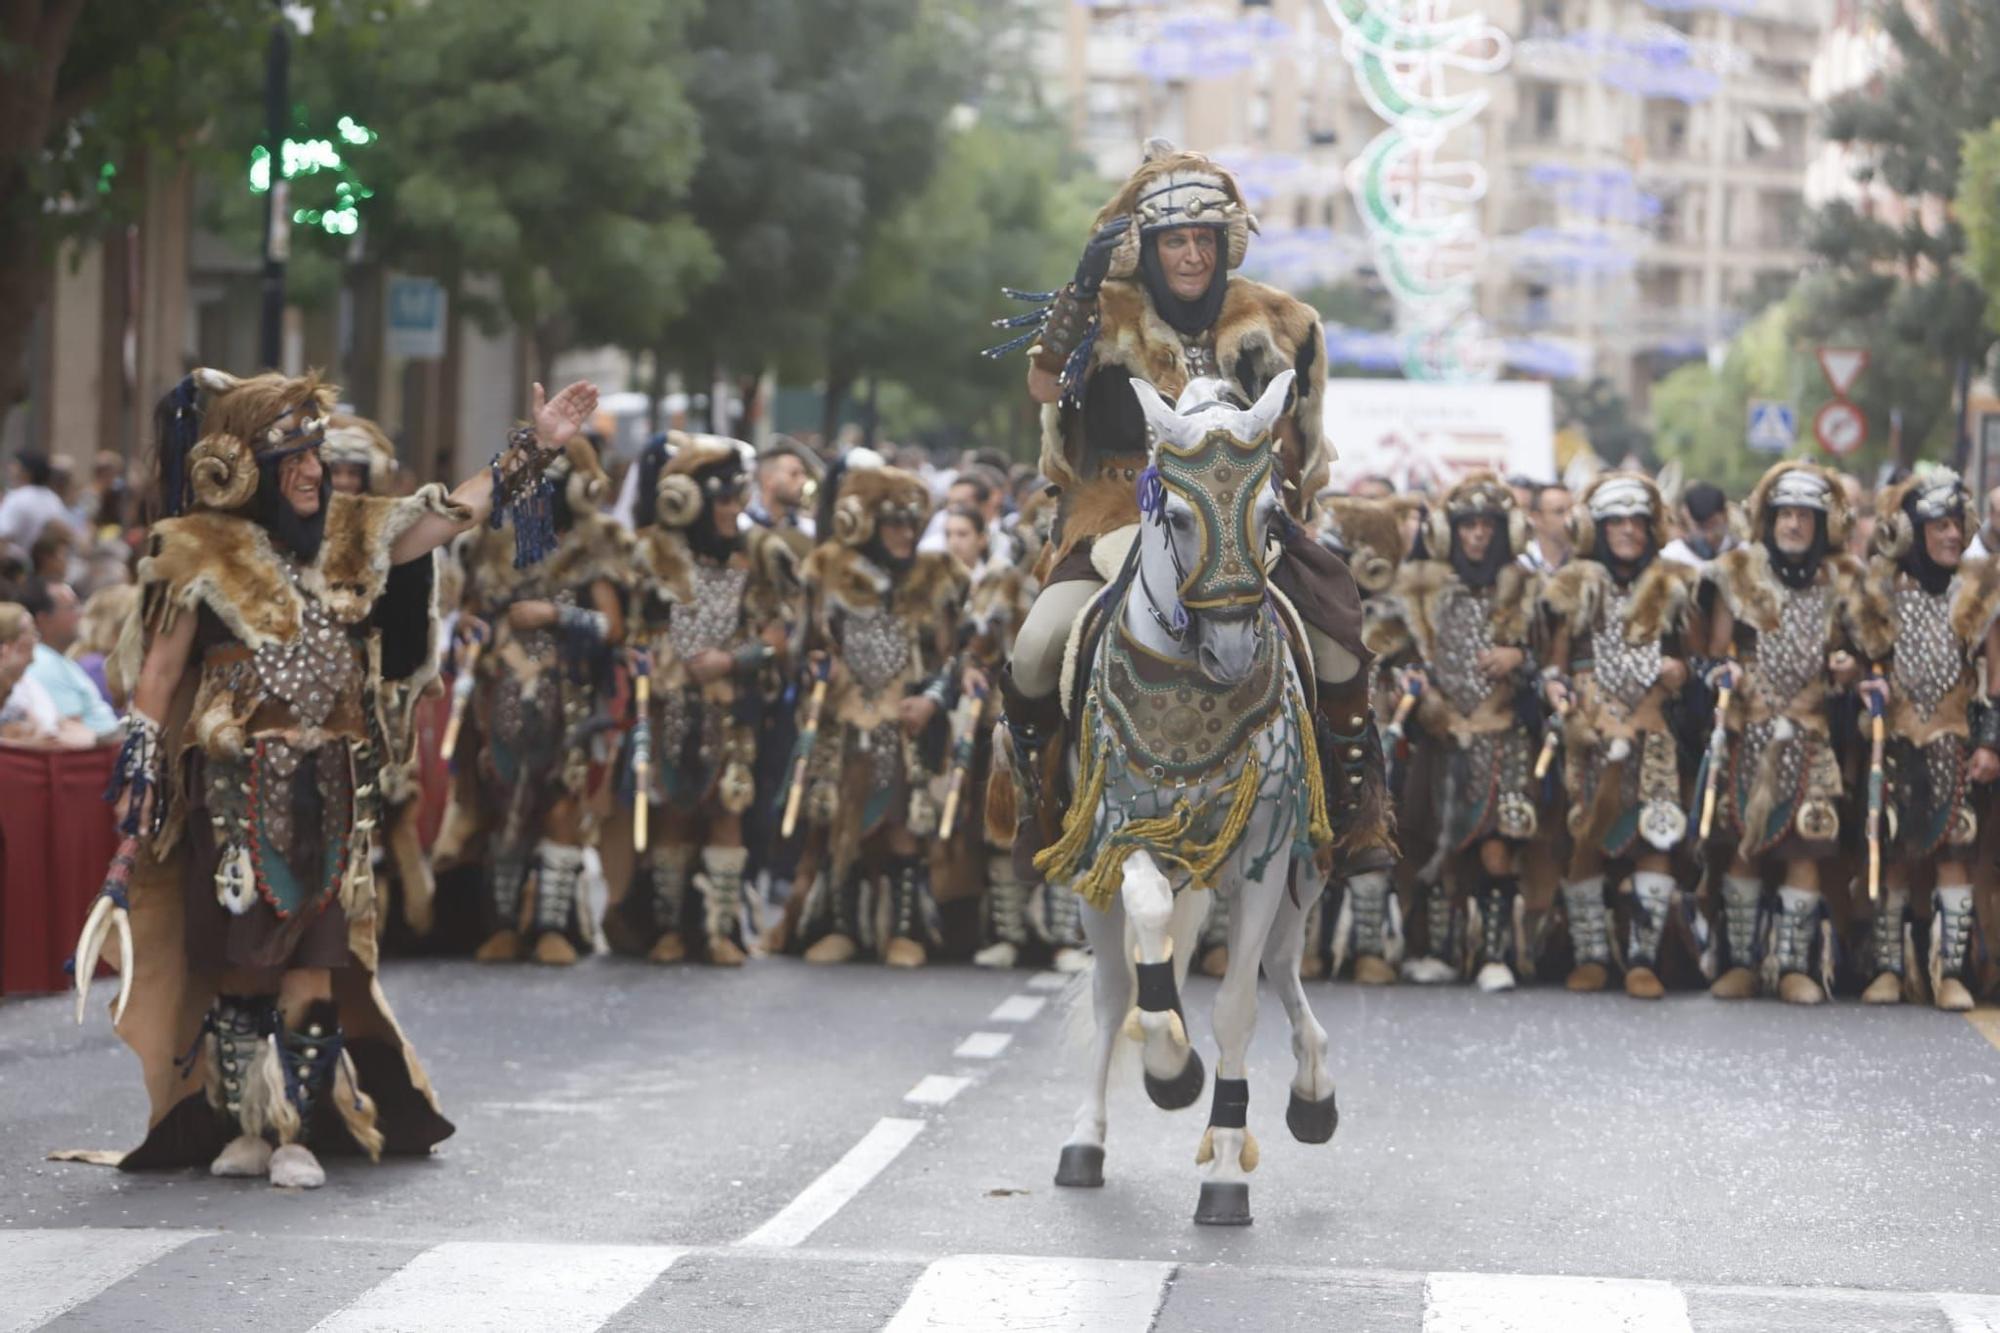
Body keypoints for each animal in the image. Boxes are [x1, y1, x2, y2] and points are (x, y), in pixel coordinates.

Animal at [1032, 368, 1344, 1216]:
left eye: (1271, 512)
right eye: (1174, 513)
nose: (1232, 648)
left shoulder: (1265, 851)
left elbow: (1237, 1003)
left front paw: (1225, 1165)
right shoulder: (1117, 834)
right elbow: (1147, 928)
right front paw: (1171, 1064)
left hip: (1298, 869)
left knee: (1281, 965)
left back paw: (1313, 1090)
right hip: (1097, 876)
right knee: (1115, 988)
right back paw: (1086, 1136)